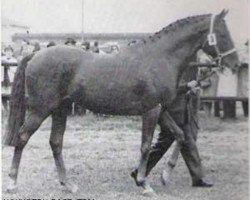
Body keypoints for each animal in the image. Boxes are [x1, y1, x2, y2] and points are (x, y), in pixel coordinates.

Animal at [3, 9, 238, 195]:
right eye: (222, 34)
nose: (235, 64)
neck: (159, 58)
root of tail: (34, 55)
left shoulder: (161, 110)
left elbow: (180, 135)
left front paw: (165, 174)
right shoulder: (151, 111)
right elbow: (145, 145)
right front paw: (144, 184)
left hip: (60, 110)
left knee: (55, 143)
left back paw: (68, 185)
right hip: (40, 109)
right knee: (22, 137)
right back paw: (12, 183)